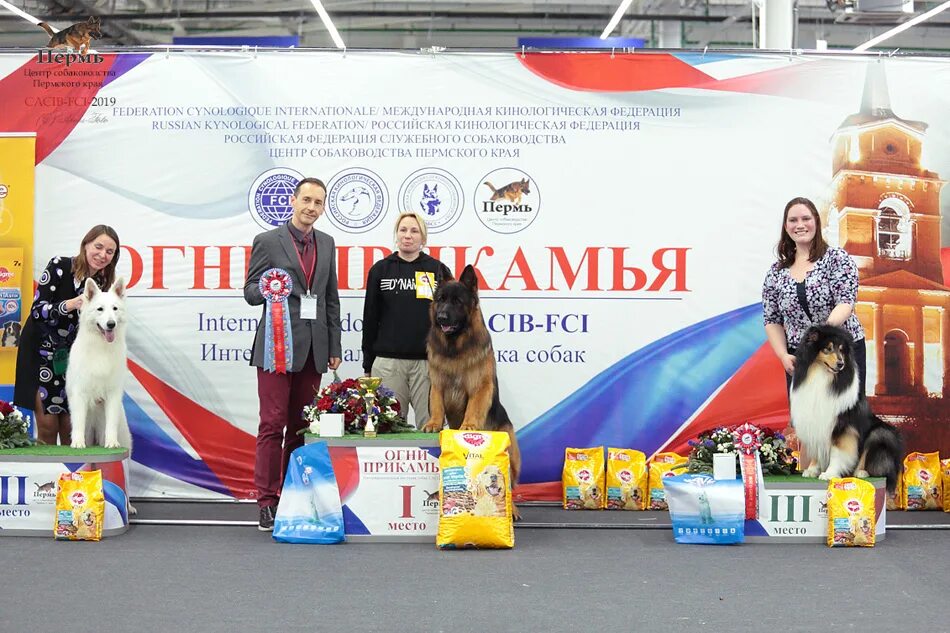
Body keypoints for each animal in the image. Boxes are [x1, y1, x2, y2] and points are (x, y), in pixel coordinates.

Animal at [67, 276, 132, 450]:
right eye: (100, 309)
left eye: (115, 308)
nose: (111, 324)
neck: (101, 348)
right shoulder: (80, 392)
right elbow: (79, 422)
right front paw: (78, 443)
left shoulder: (113, 393)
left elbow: (111, 423)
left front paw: (112, 442)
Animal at [426, 266, 524, 520]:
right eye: (441, 300)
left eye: (457, 302)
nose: (441, 317)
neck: (454, 348)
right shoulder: (437, 384)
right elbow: (437, 405)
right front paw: (433, 424)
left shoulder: (479, 386)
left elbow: (473, 408)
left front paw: (469, 426)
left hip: (512, 456)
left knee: (509, 486)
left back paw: (512, 511)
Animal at [788, 326, 908, 494]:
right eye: (827, 349)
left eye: (841, 350)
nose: (841, 364)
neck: (822, 375)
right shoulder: (815, 422)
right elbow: (816, 448)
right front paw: (812, 470)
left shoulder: (843, 427)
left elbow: (838, 452)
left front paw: (829, 473)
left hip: (881, 432)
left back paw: (860, 472)